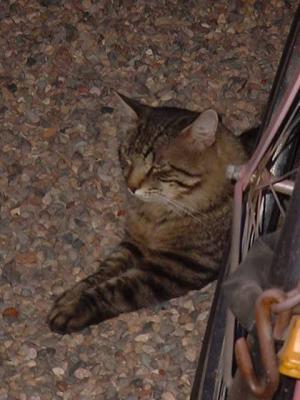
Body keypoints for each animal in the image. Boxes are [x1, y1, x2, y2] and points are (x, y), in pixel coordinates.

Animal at [48, 94, 247, 334]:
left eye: (158, 167)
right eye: (126, 158)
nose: (131, 186)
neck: (157, 213)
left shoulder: (178, 265)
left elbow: (114, 288)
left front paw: (74, 308)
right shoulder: (132, 244)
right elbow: (102, 273)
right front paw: (72, 294)